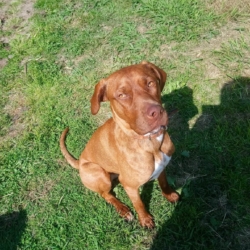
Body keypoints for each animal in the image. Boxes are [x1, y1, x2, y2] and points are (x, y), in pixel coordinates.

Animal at [59, 61, 179, 229]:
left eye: (150, 83)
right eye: (122, 95)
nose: (156, 112)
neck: (151, 143)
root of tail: (79, 161)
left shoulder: (162, 167)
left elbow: (164, 182)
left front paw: (170, 195)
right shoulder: (130, 186)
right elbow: (139, 204)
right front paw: (145, 220)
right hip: (99, 173)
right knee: (106, 195)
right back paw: (123, 209)